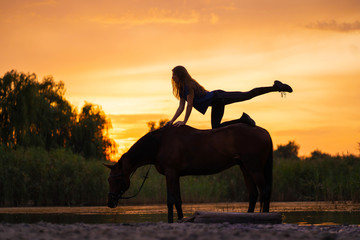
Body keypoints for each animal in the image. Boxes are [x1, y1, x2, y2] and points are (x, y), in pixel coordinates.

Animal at [104, 124, 272, 223]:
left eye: (117, 179)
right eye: (108, 180)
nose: (110, 203)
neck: (159, 144)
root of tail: (264, 131)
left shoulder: (170, 173)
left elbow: (170, 200)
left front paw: (170, 221)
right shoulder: (175, 175)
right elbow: (178, 200)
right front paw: (180, 219)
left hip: (255, 169)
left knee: (264, 192)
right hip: (245, 169)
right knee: (253, 194)